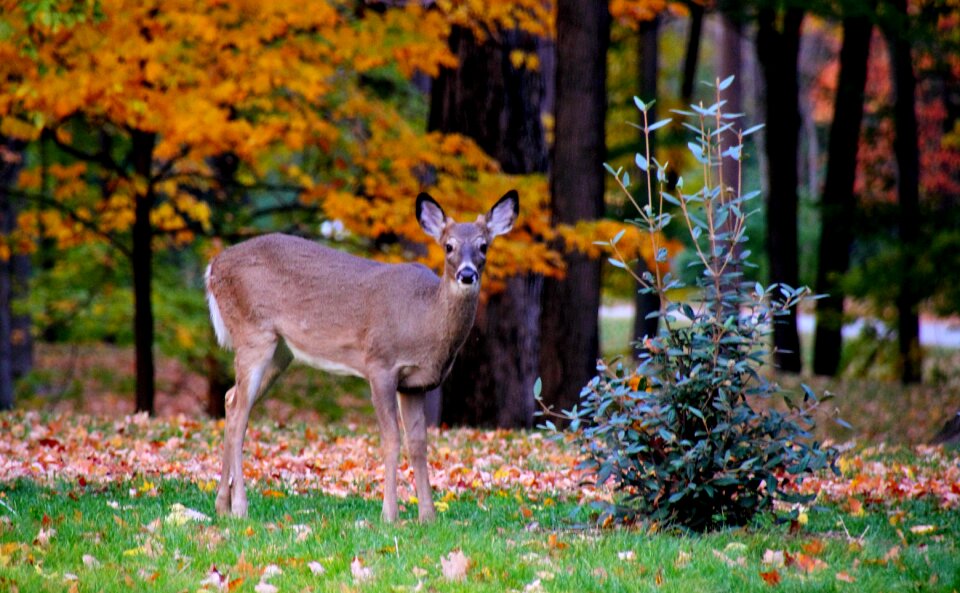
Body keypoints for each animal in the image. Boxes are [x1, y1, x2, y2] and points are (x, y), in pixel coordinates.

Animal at [202, 191, 516, 524]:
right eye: (449, 246)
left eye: (484, 246)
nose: (467, 274)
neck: (424, 320)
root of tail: (213, 267)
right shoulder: (379, 363)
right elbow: (391, 439)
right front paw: (389, 514)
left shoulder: (415, 384)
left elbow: (418, 443)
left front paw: (427, 516)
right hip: (253, 333)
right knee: (239, 414)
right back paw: (240, 507)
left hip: (280, 351)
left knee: (231, 398)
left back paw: (221, 505)